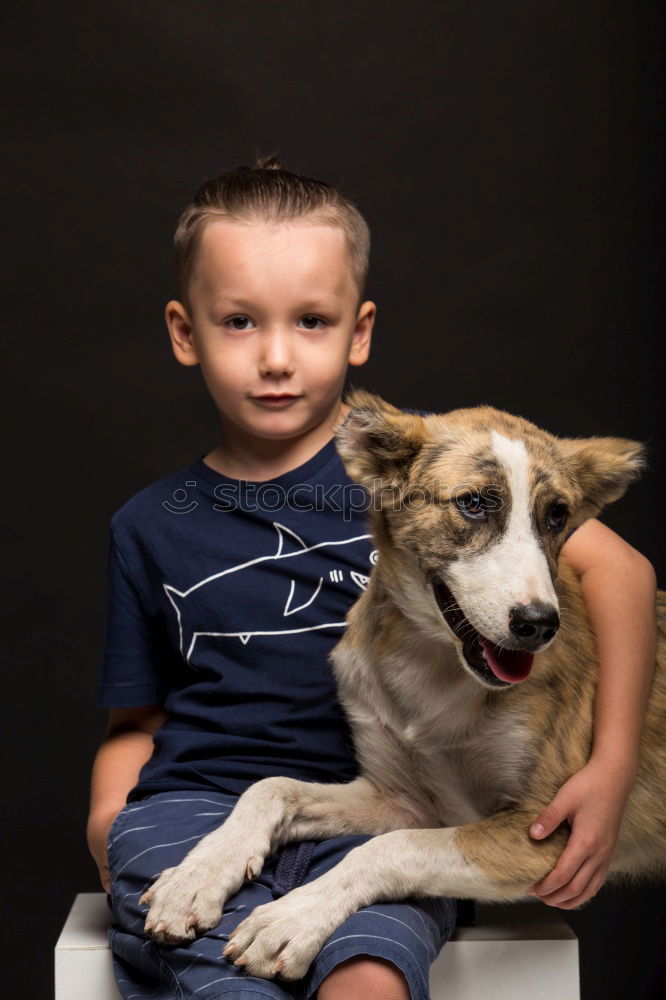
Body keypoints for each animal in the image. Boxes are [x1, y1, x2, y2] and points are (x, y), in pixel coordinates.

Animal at [139, 388, 660, 976]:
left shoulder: (547, 834)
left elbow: (392, 848)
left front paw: (291, 919)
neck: (433, 662)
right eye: (474, 503)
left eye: (557, 516)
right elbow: (269, 786)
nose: (539, 625)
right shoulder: (397, 800)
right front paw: (196, 875)